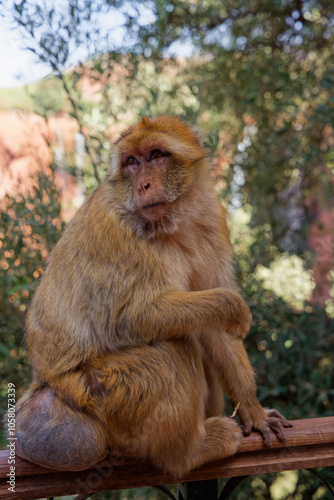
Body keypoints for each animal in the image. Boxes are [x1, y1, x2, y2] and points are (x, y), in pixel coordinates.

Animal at [11, 116, 290, 476]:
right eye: (131, 162)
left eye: (156, 155)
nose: (142, 185)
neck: (172, 224)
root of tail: (46, 387)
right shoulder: (115, 230)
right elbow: (130, 319)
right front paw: (233, 308)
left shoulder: (210, 221)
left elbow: (215, 332)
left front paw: (254, 412)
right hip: (100, 391)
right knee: (172, 347)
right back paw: (188, 453)